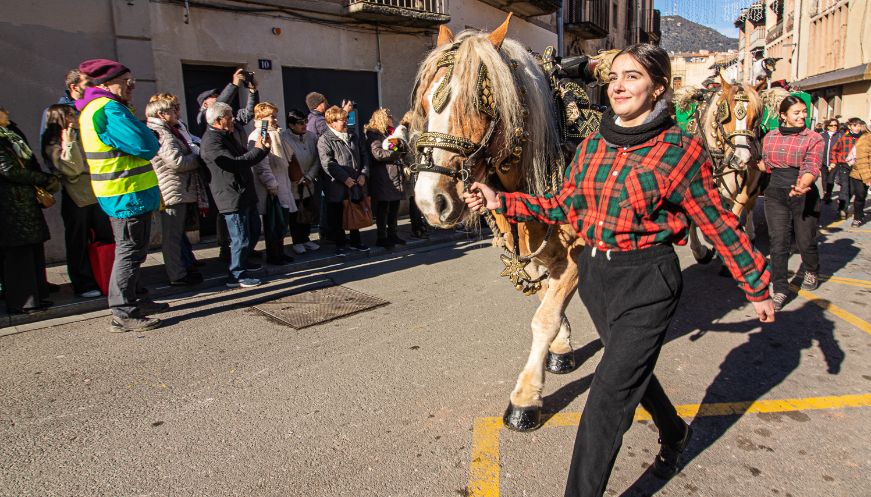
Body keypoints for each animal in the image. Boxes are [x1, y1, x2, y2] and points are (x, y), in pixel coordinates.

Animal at [408, 13, 584, 428]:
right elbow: (547, 299)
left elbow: (545, 316)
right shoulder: (536, 252)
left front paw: (526, 398)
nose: (429, 202)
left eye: (479, 104)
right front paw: (561, 347)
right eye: (424, 103)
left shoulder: (575, 251)